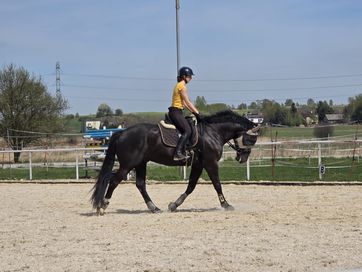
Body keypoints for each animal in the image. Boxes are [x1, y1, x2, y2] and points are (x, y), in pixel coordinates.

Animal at [92, 110, 258, 215]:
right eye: (250, 139)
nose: (243, 159)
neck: (212, 132)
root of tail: (122, 133)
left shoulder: (198, 164)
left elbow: (191, 186)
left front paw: (174, 205)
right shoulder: (210, 163)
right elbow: (217, 184)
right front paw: (226, 205)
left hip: (140, 164)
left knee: (140, 184)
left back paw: (154, 208)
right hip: (128, 165)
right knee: (114, 181)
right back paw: (103, 206)